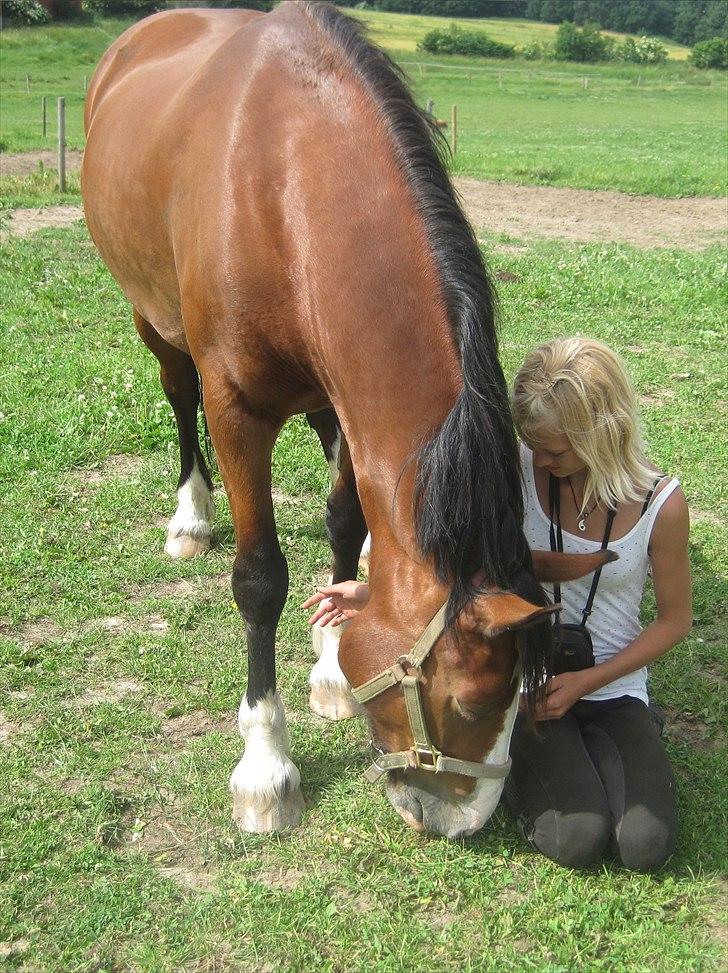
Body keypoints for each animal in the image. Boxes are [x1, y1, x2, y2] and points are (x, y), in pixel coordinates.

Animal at [82, 0, 604, 840]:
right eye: (469, 701)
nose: (460, 821)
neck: (285, 182)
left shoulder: (347, 400)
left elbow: (347, 521)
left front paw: (330, 661)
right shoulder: (239, 412)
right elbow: (260, 579)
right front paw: (266, 766)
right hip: (154, 322)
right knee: (177, 395)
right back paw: (191, 514)